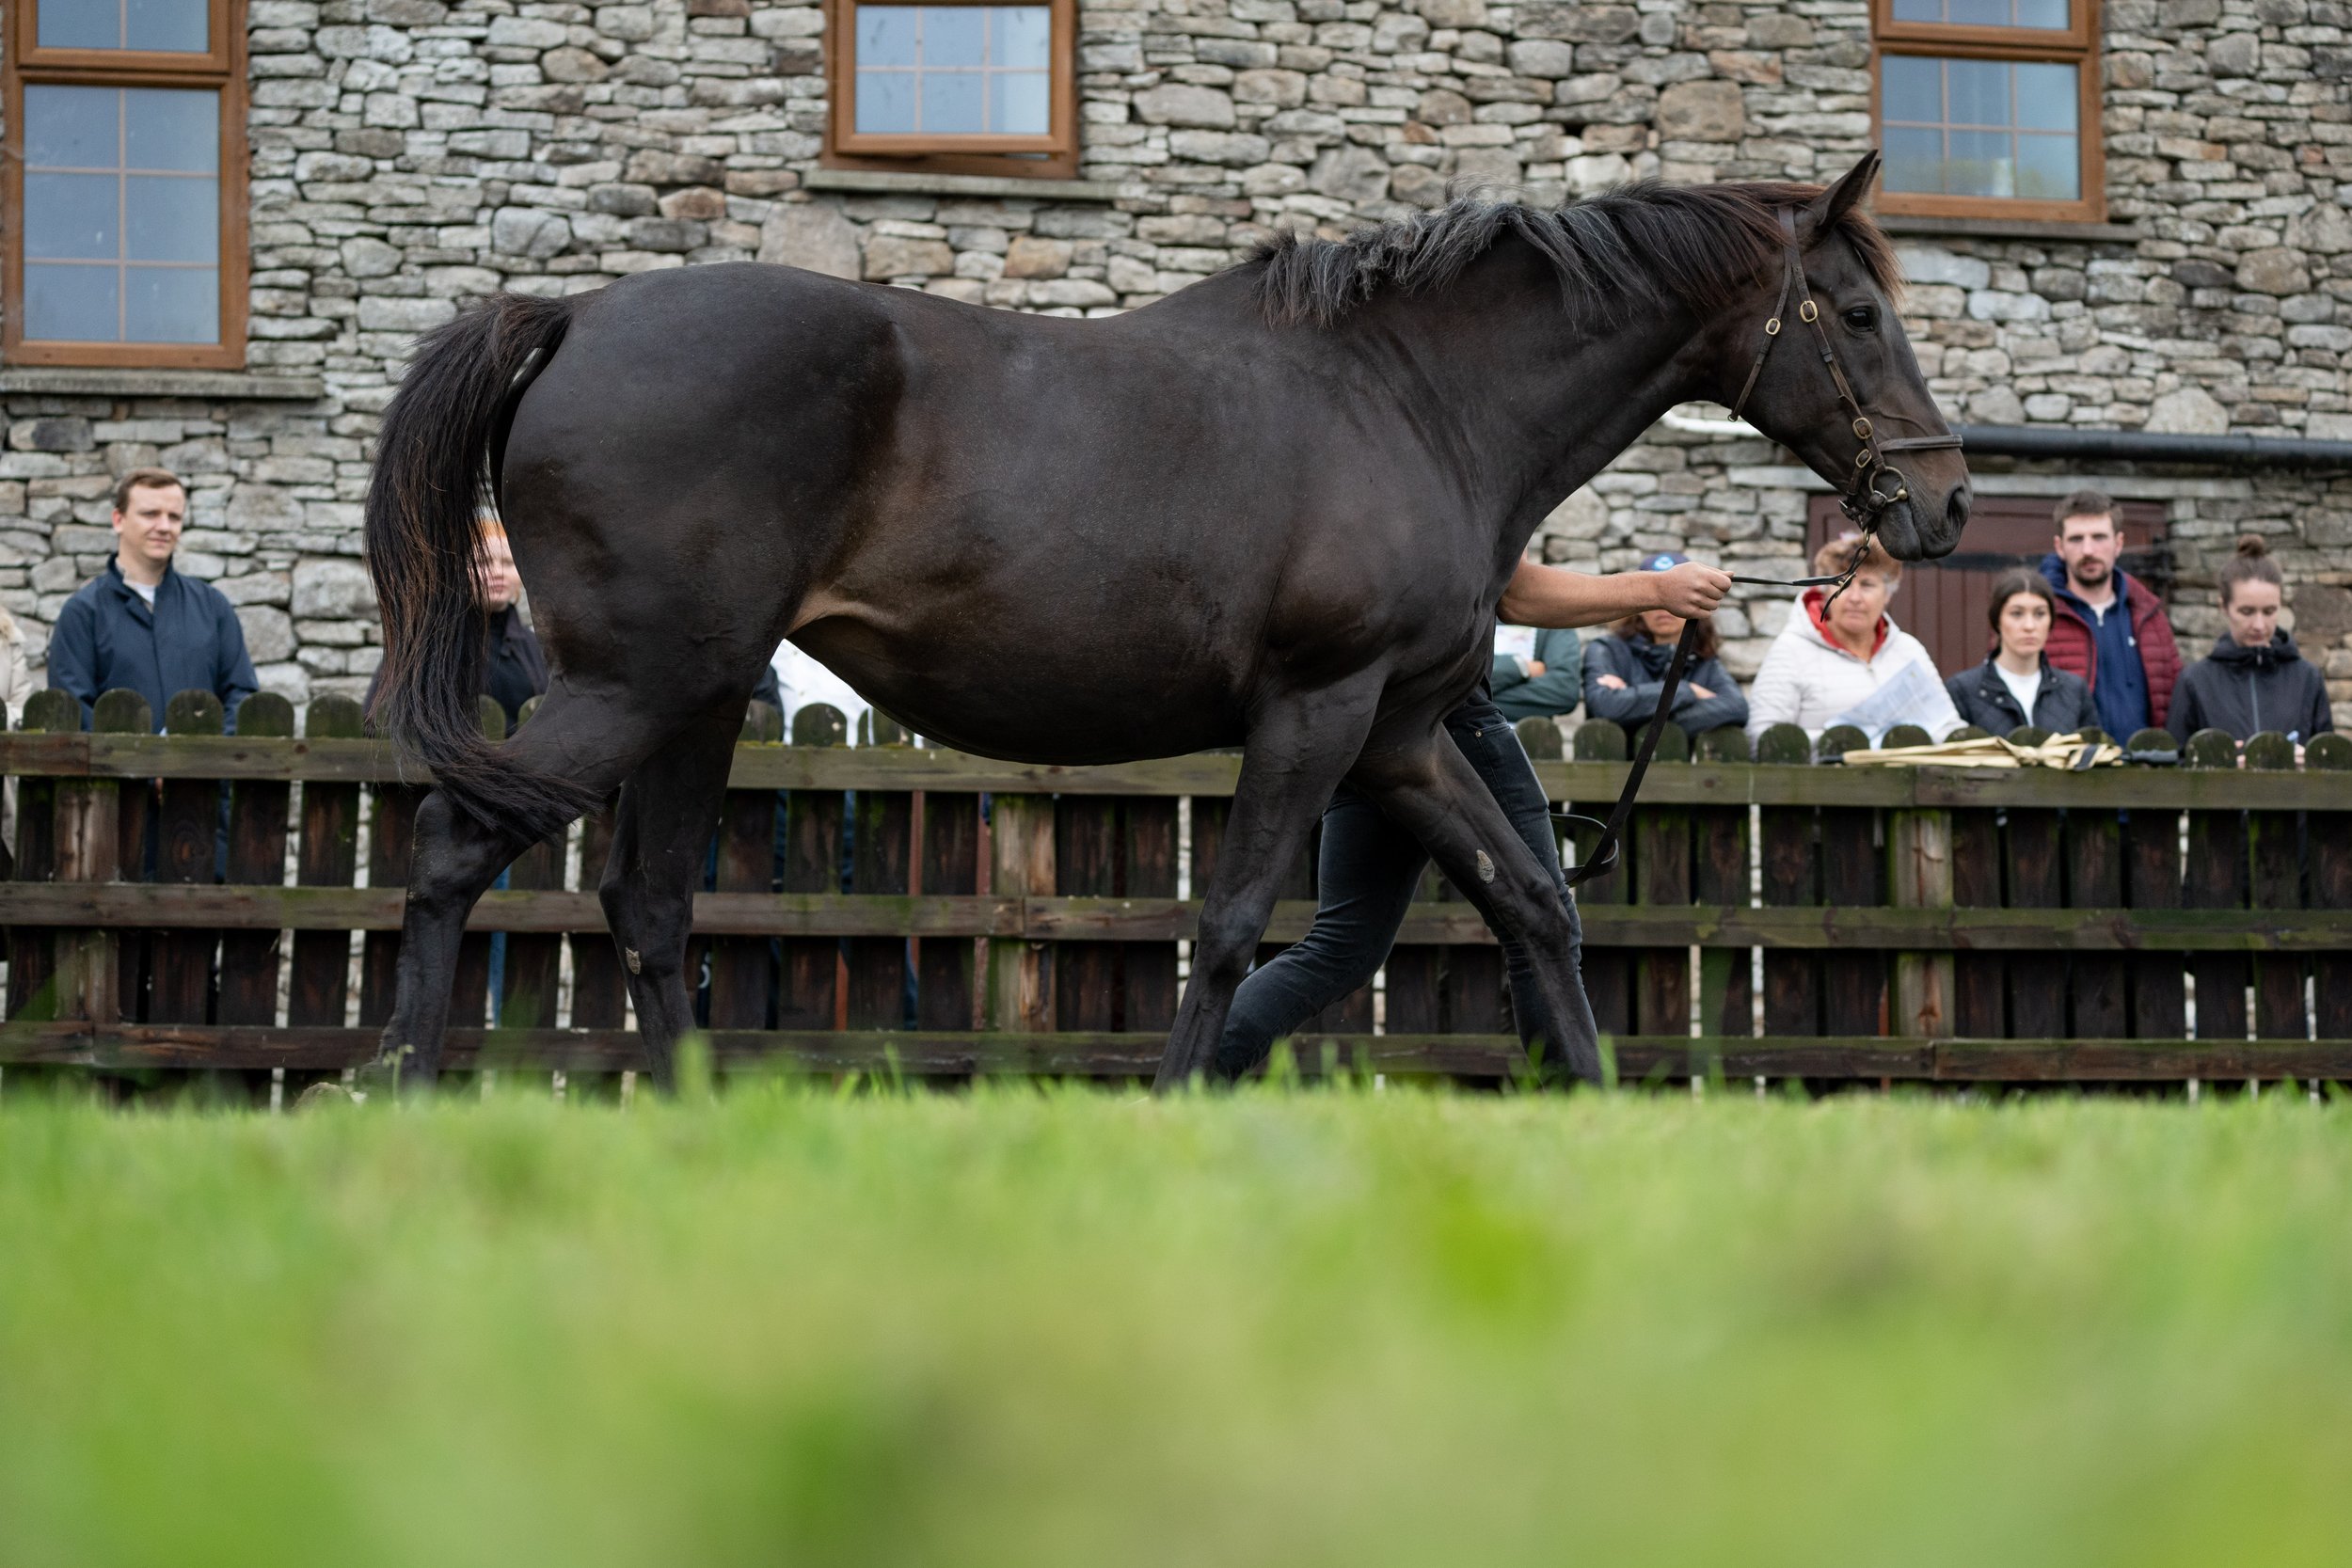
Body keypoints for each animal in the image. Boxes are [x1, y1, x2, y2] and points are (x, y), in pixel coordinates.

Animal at [358, 156, 1966, 1090]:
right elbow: (1234, 920)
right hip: (637, 682)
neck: (1411, 398)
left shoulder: (1396, 734)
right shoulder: (1315, 710)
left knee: (644, 900)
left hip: (693, 697)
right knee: (452, 844)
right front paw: (1183, 1102)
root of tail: (571, 318)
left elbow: (1534, 901)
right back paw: (399, 1085)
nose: (1942, 504)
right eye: (1859, 313)